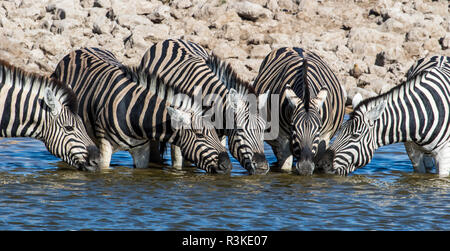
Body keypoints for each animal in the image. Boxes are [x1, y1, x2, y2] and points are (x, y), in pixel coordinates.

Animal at [51, 46, 232, 173]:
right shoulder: (105, 147)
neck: (135, 113)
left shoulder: (142, 151)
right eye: (200, 135)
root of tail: (79, 49)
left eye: (216, 133)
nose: (227, 165)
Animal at [135, 39, 268, 175]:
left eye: (263, 130)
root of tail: (171, 40)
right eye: (240, 130)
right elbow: (177, 163)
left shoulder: (218, 135)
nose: (262, 167)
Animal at [253, 48, 344, 176]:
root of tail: (293, 47)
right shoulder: (282, 138)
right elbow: (285, 168)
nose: (305, 168)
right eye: (293, 127)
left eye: (319, 128)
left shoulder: (323, 138)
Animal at [320, 55, 450, 176]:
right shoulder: (412, 150)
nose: (322, 164)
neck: (420, 115)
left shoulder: (444, 153)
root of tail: (440, 56)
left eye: (355, 136)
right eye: (340, 130)